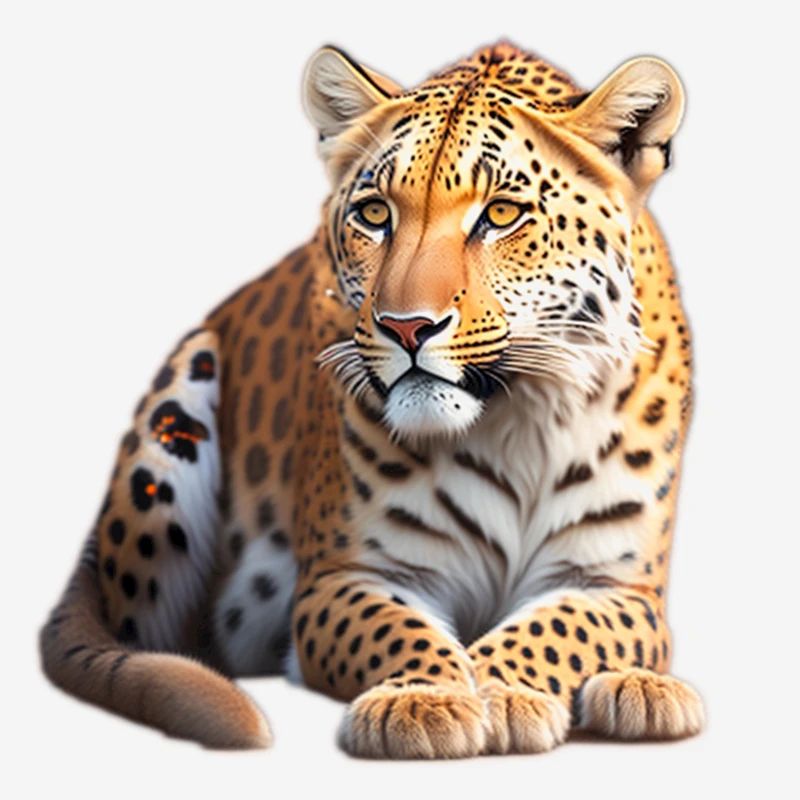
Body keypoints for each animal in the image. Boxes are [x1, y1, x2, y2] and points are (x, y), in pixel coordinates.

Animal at [40, 41, 704, 758]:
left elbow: (553, 635)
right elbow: (403, 634)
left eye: (501, 214)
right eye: (375, 214)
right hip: (181, 402)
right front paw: (426, 699)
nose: (406, 327)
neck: (517, 420)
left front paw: (504, 694)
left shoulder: (618, 586)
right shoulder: (345, 576)